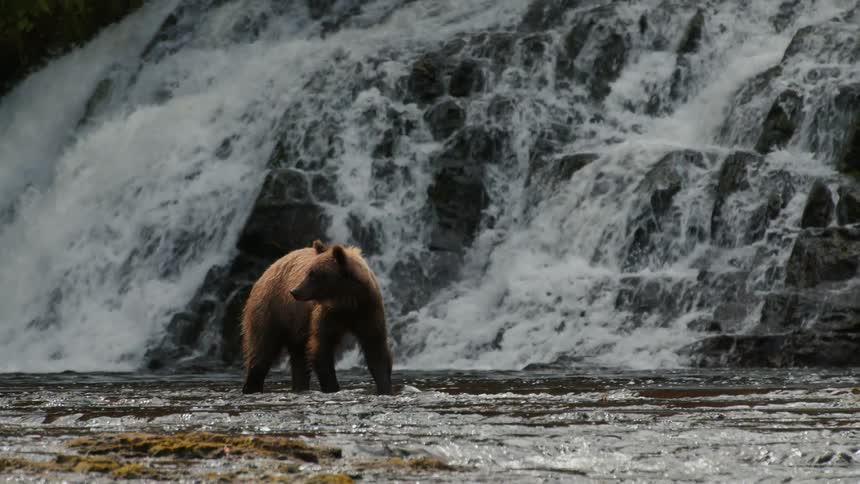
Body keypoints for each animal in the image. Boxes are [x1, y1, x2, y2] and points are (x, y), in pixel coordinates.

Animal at [240, 240, 393, 395]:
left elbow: (375, 348)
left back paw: (299, 386)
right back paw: (251, 387)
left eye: (313, 275)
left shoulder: (368, 310)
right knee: (262, 351)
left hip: (295, 326)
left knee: (299, 361)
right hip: (271, 310)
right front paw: (332, 387)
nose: (294, 291)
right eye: (308, 272)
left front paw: (385, 388)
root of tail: (269, 269)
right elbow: (321, 348)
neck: (347, 302)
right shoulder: (326, 315)